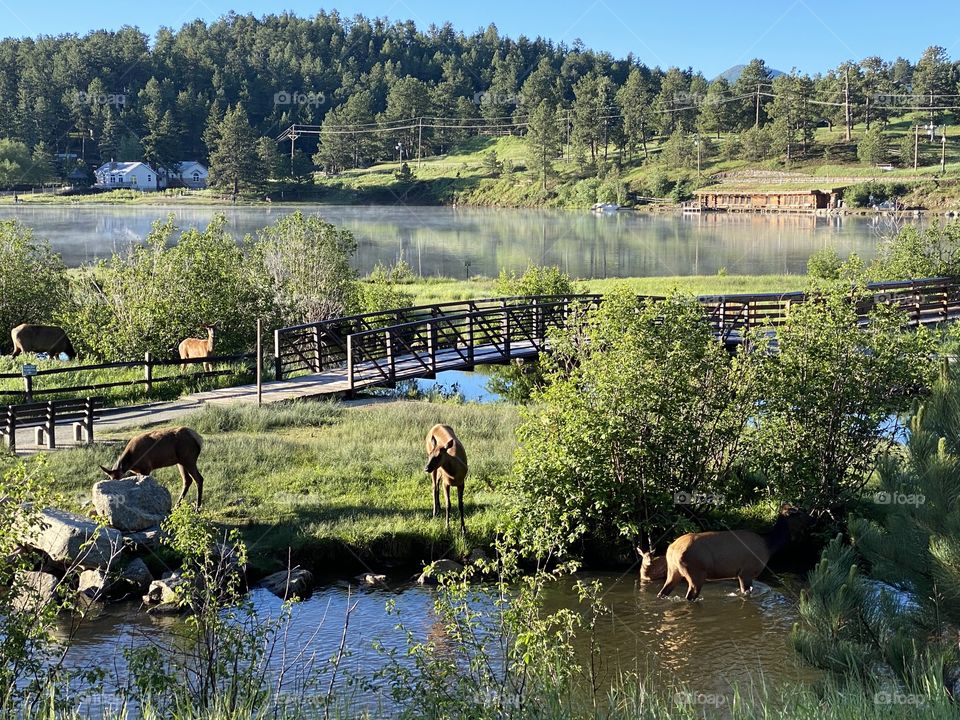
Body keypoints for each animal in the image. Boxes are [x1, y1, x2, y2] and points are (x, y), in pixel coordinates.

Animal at [656, 504, 808, 600]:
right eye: (800, 513)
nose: (812, 520)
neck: (769, 546)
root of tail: (671, 549)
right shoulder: (746, 571)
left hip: (673, 570)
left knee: (662, 592)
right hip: (696, 572)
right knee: (689, 596)